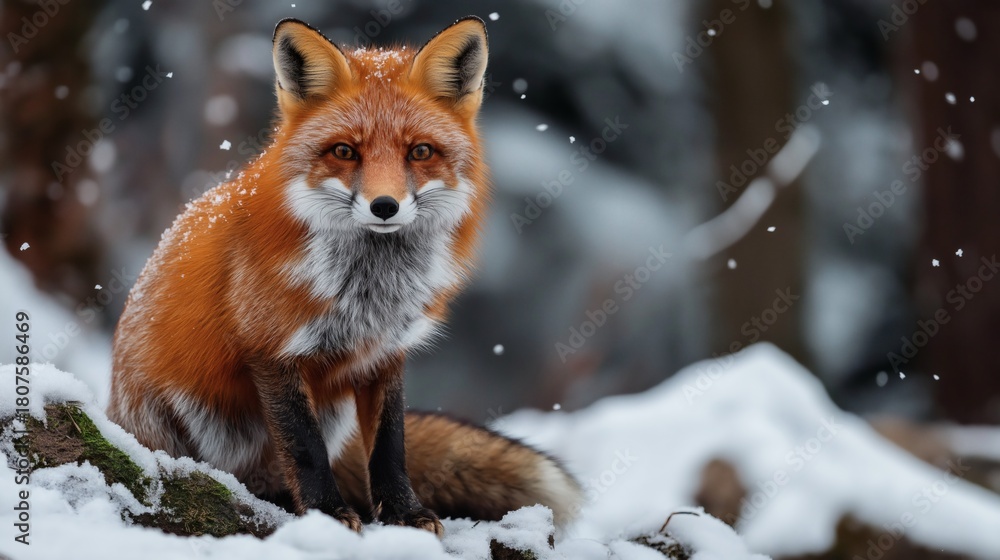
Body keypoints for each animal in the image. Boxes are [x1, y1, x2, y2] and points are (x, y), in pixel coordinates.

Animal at [106, 17, 582, 536]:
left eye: (420, 152)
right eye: (344, 151)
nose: (385, 206)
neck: (370, 290)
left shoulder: (386, 352)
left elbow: (390, 447)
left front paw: (404, 513)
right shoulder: (272, 350)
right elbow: (305, 449)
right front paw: (327, 514)